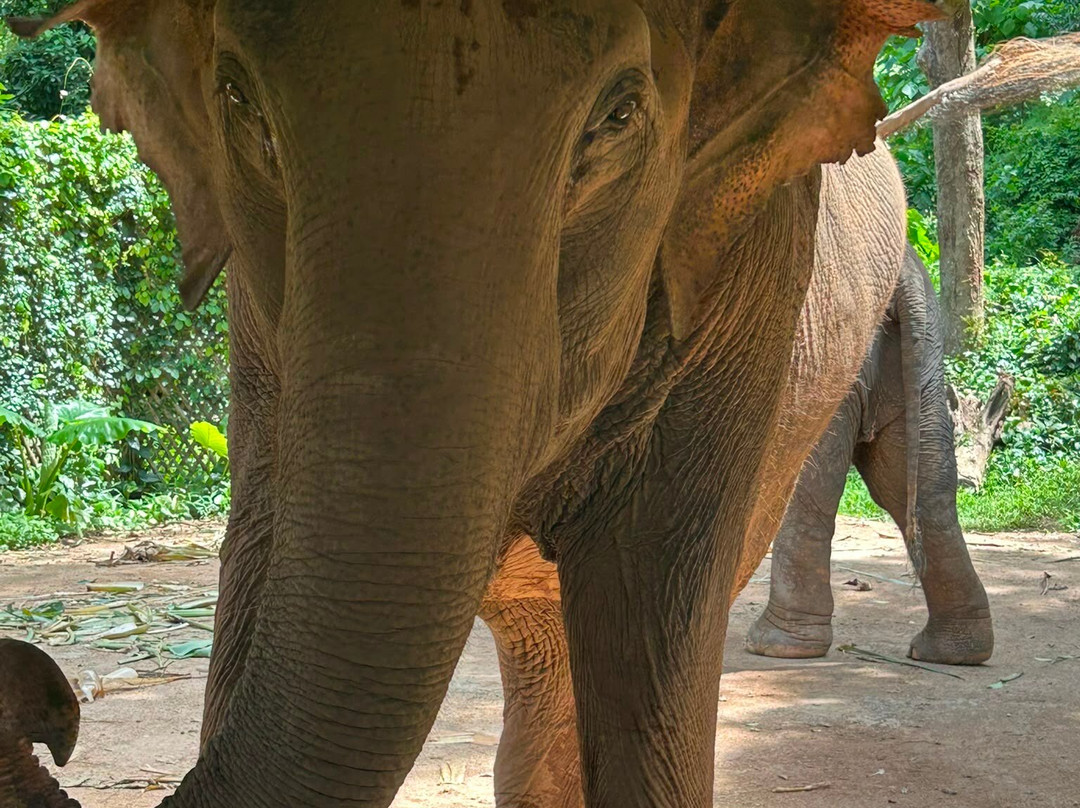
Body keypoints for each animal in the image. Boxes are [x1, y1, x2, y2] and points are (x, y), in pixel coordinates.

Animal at [0, 2, 946, 808]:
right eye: (236, 99)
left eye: (617, 117)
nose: (51, 716)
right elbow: (261, 555)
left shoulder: (750, 268)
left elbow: (651, 606)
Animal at [746, 245, 994, 662]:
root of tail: (903, 275)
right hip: (922, 361)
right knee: (918, 491)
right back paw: (953, 652)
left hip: (827, 361)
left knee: (804, 484)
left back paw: (774, 645)